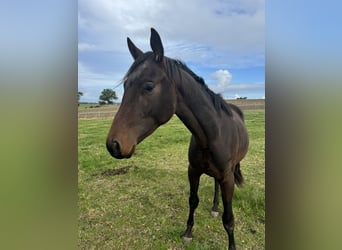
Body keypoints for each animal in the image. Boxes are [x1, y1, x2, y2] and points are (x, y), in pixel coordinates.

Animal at [107, 27, 248, 250]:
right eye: (125, 85)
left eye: (148, 86)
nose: (113, 145)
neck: (211, 135)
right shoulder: (193, 171)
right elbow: (193, 200)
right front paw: (188, 232)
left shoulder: (227, 177)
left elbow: (229, 219)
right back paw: (214, 207)